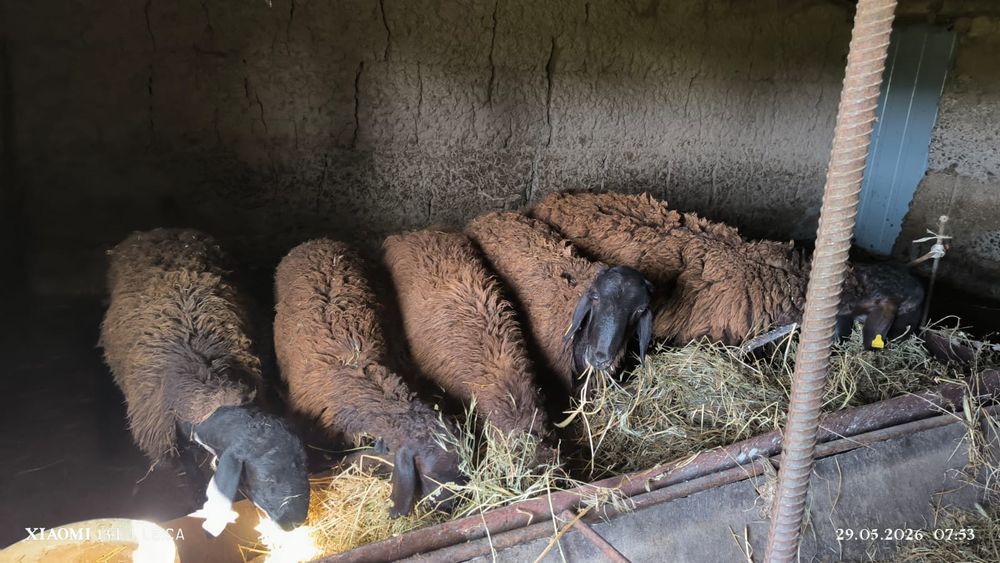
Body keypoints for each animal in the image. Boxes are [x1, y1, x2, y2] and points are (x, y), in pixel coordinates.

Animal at [99, 228, 309, 535]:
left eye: (303, 464)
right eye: (267, 478)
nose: (294, 523)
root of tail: (159, 230)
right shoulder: (171, 442)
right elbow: (190, 472)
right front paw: (198, 498)